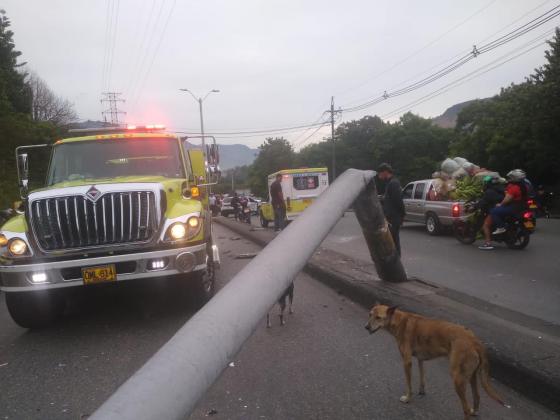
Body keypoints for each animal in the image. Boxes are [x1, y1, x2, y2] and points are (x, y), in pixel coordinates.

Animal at [366, 304, 510, 418]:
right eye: (370, 314)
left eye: (378, 317)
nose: (366, 327)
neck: (399, 320)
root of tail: (474, 341)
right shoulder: (420, 359)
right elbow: (422, 377)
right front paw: (422, 391)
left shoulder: (407, 362)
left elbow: (409, 385)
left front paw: (407, 398)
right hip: (471, 377)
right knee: (477, 398)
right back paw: (474, 411)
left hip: (458, 379)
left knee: (465, 408)